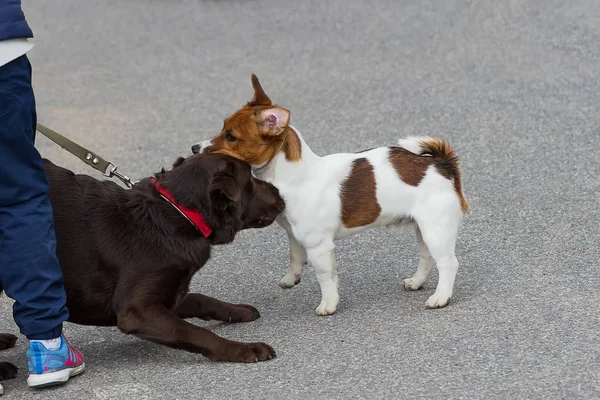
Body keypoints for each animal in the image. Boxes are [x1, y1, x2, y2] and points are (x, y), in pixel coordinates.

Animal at [192, 76, 468, 316]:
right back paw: (417, 282)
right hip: (424, 229)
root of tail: (442, 165)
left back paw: (440, 298)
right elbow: (296, 258)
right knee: (427, 257)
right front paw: (291, 278)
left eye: (231, 137)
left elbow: (325, 277)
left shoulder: (319, 247)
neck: (292, 176)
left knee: (448, 263)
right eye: (222, 128)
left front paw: (329, 304)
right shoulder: (295, 237)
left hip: (435, 230)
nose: (195, 148)